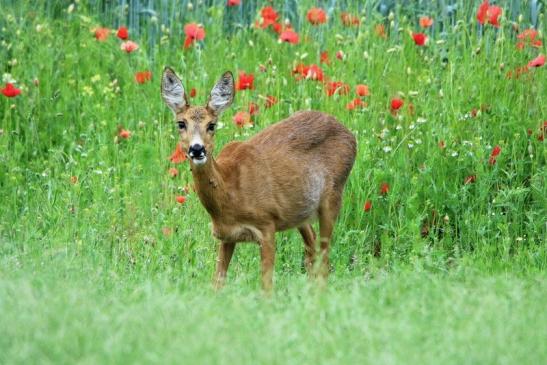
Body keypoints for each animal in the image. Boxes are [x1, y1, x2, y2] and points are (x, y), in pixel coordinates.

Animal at [161, 67, 358, 290]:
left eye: (211, 125)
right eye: (181, 123)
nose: (197, 149)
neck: (229, 190)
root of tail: (350, 134)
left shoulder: (267, 225)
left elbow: (266, 285)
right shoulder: (227, 236)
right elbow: (218, 282)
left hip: (333, 197)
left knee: (324, 258)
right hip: (299, 211)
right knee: (312, 249)